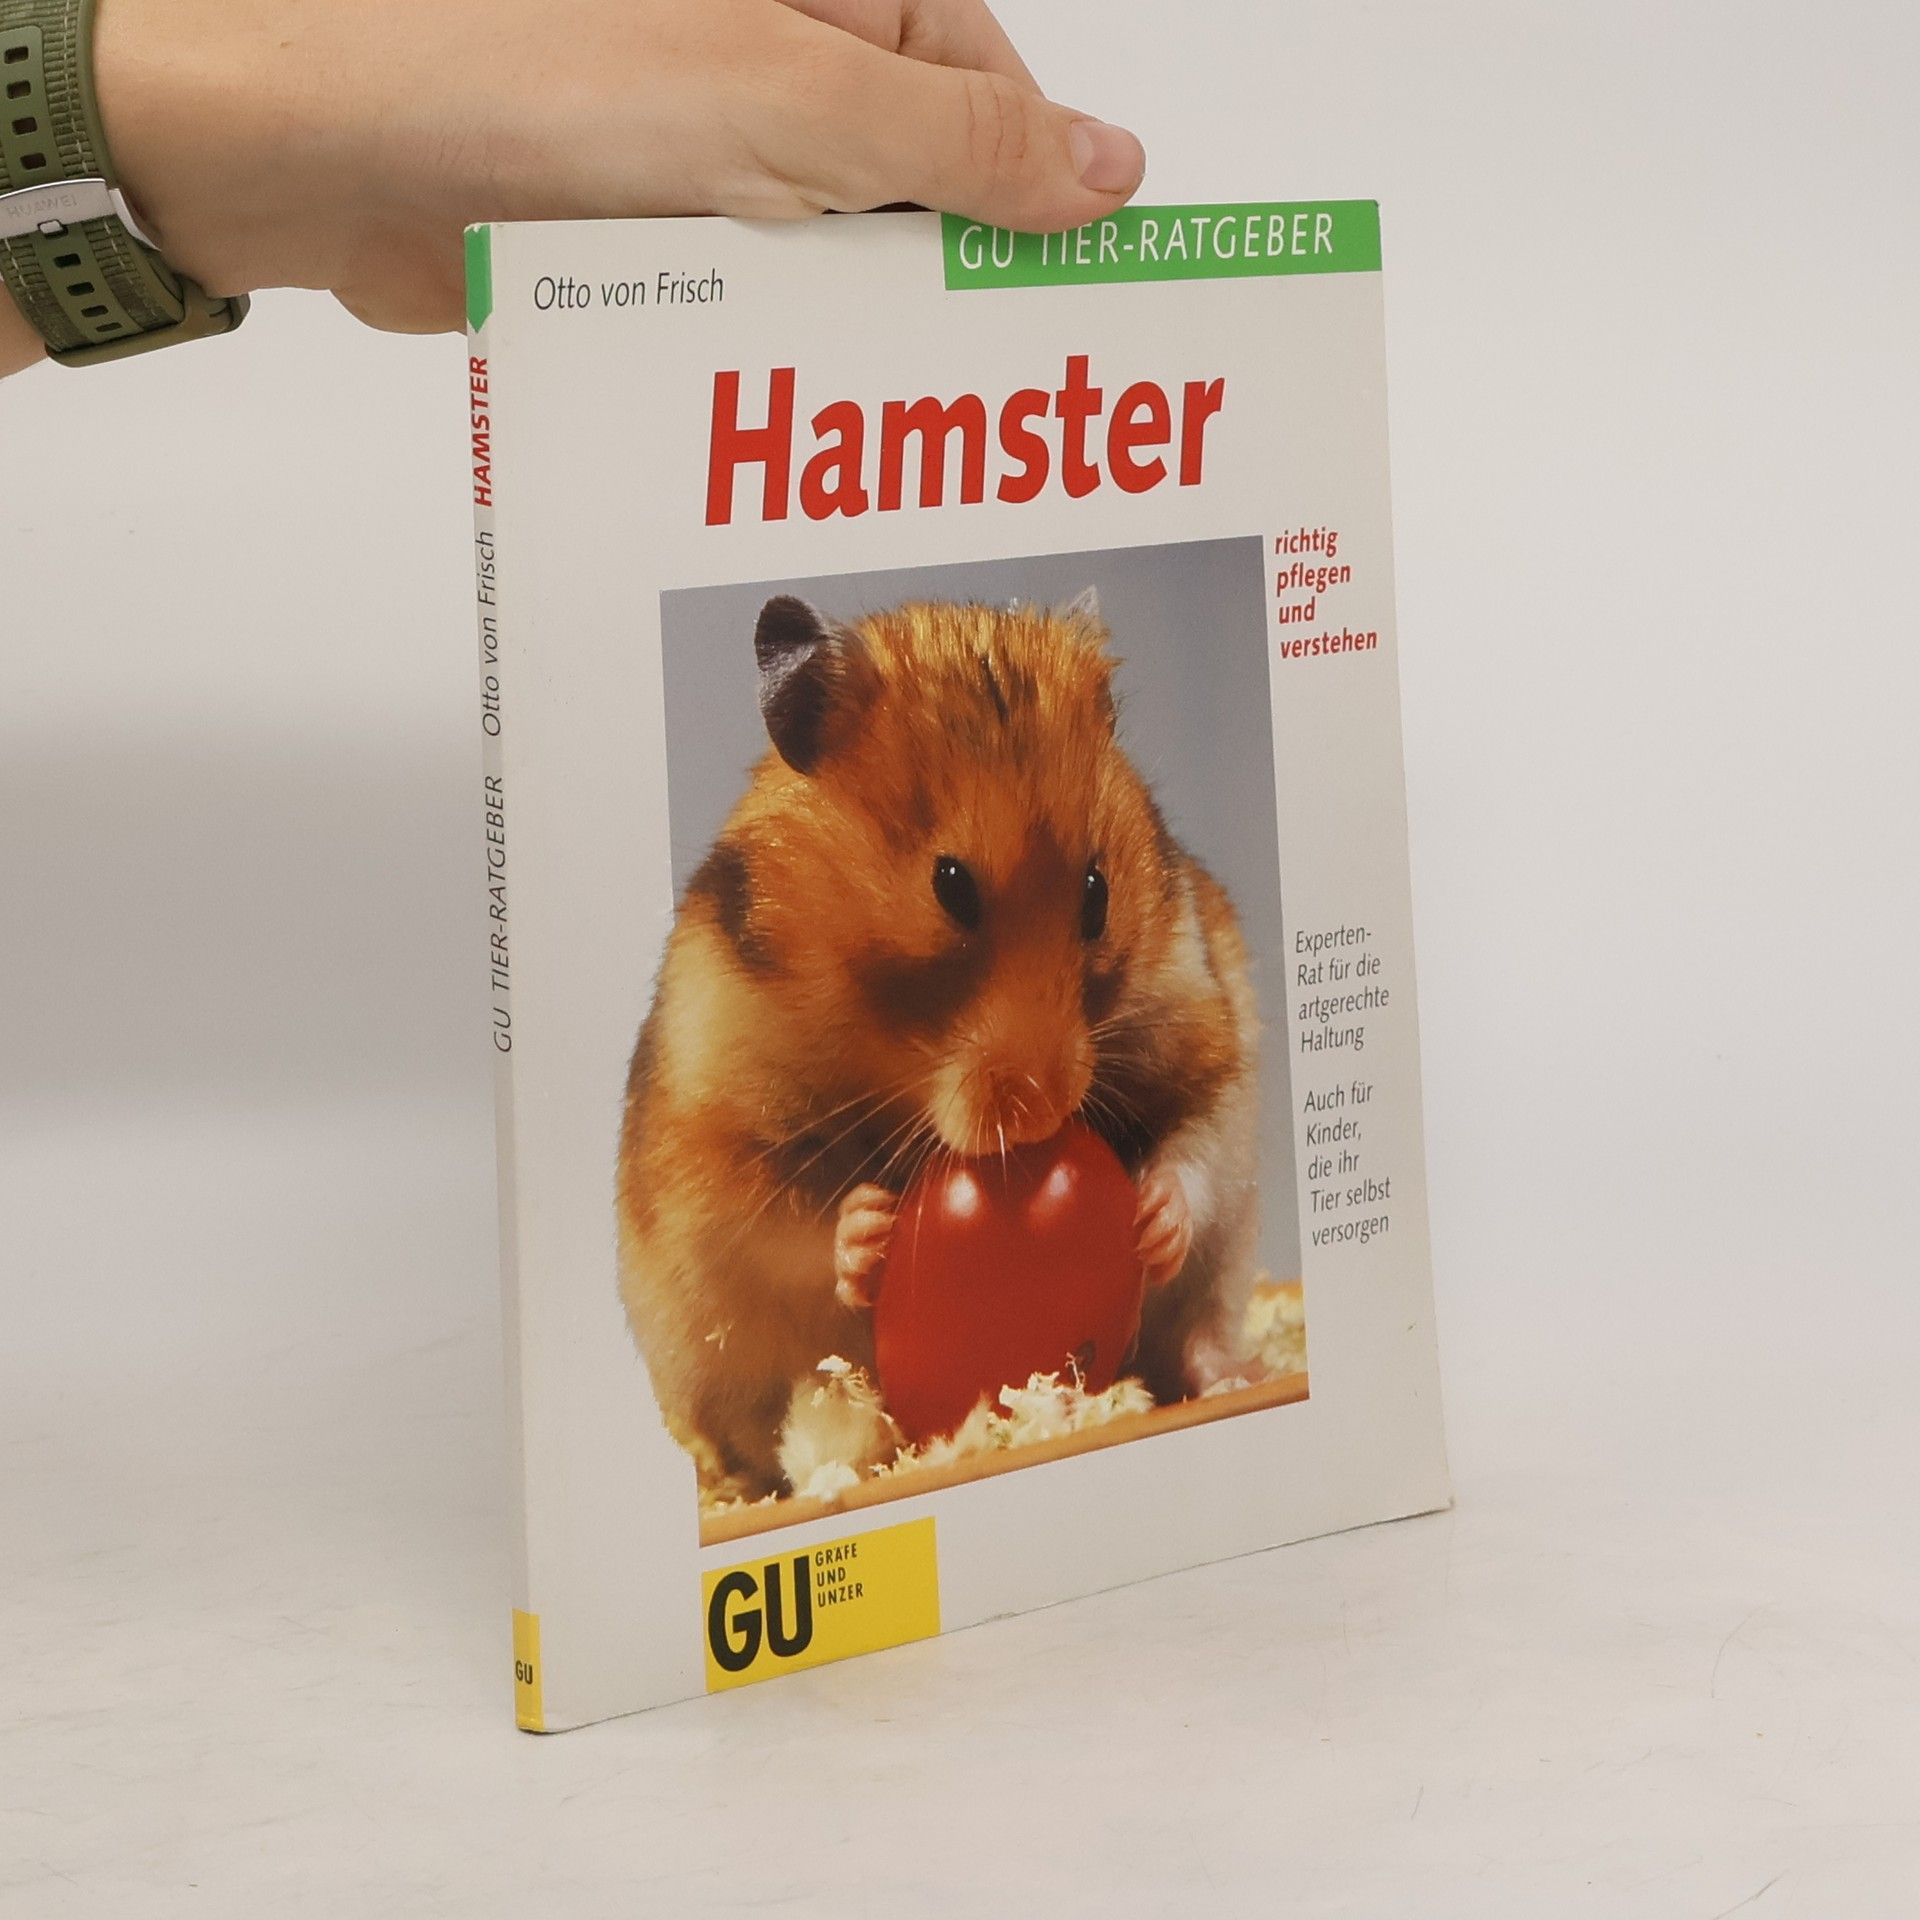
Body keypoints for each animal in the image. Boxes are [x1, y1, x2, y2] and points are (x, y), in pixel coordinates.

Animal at [616, 591, 1262, 1499]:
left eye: (1098, 893)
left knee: (1198, 1329)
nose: (1044, 1114)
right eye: (950, 887)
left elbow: (1193, 1148)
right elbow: (787, 1223)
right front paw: (870, 1229)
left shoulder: (1203, 1027)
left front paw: (1149, 1217)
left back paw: (1233, 1375)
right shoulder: (714, 1142)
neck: (890, 1055)